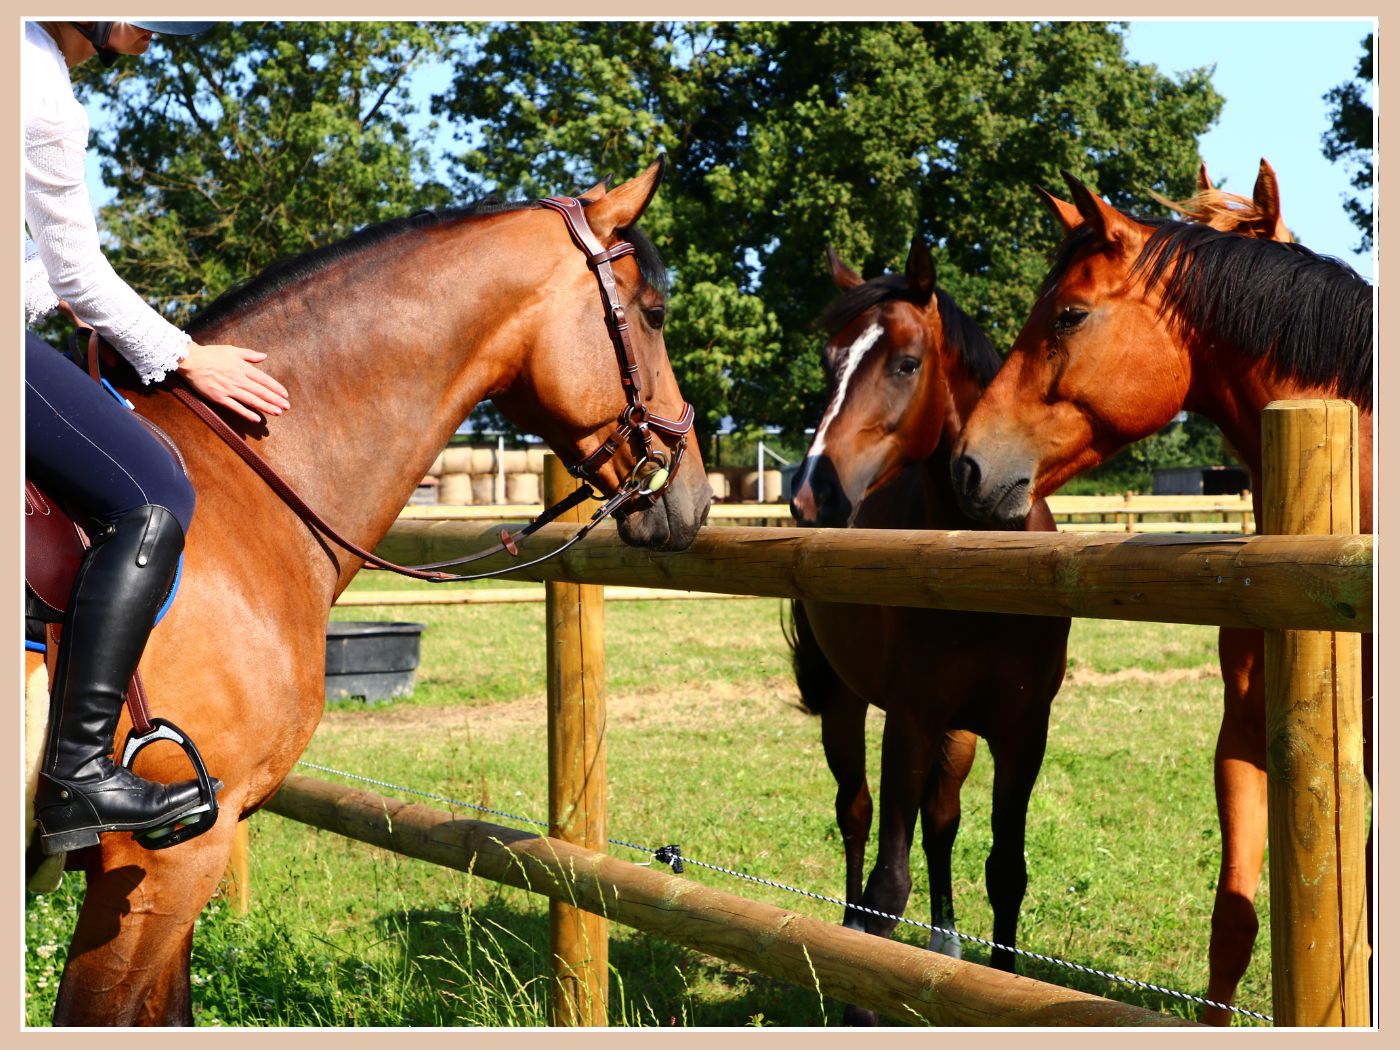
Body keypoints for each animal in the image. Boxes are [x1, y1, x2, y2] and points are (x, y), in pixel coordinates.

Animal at [787, 240, 1069, 1025]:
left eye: (906, 363)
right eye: (829, 360)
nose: (812, 493)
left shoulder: (1020, 731)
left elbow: (1006, 870)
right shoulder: (909, 721)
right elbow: (887, 883)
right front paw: (862, 992)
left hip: (961, 731)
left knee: (942, 819)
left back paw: (944, 944)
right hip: (849, 706)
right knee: (855, 814)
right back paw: (850, 933)